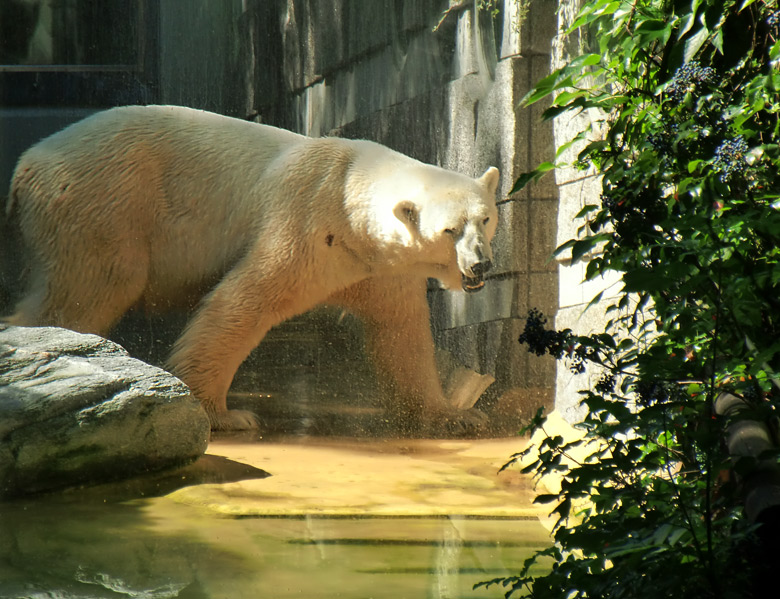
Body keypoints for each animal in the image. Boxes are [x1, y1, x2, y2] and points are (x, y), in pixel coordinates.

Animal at [6, 105, 500, 428]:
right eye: (449, 230)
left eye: (485, 219)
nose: (481, 266)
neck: (349, 196)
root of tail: (26, 162)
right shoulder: (306, 221)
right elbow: (245, 300)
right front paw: (225, 415)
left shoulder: (378, 267)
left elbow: (401, 331)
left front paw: (454, 415)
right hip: (105, 203)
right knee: (92, 287)